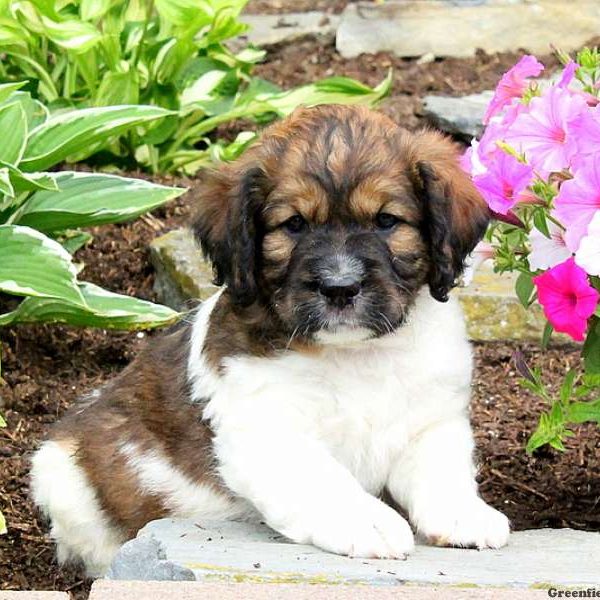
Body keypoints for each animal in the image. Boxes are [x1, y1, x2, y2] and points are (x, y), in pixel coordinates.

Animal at [31, 105, 510, 576]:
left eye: (386, 222)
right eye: (294, 225)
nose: (340, 287)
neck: (353, 354)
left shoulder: (432, 419)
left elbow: (441, 468)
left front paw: (465, 514)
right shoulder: (265, 428)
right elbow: (323, 477)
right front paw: (368, 522)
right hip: (62, 477)